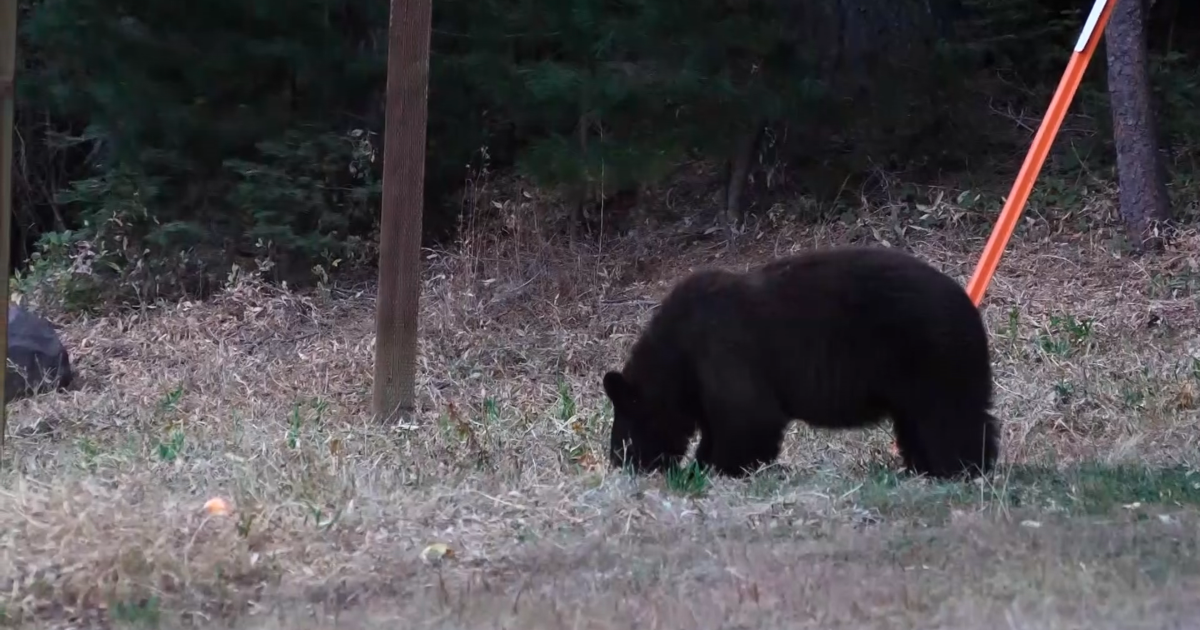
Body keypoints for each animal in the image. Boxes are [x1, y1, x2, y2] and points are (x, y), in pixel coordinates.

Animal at [601, 245, 999, 480]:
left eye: (625, 435)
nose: (619, 462)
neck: (677, 353)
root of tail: (969, 308)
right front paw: (705, 462)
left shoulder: (723, 349)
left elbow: (749, 415)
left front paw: (721, 467)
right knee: (922, 420)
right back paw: (925, 467)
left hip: (933, 358)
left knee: (950, 416)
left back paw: (961, 468)